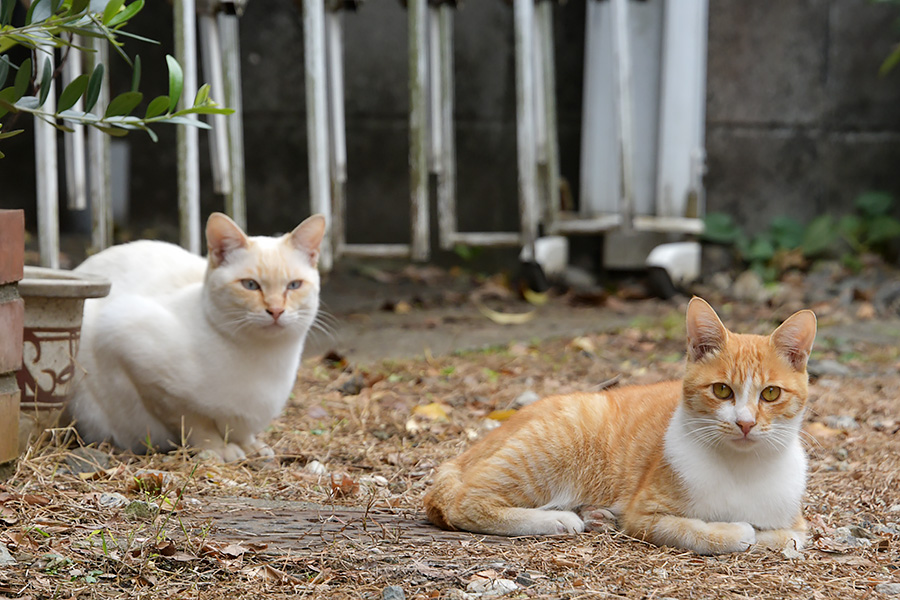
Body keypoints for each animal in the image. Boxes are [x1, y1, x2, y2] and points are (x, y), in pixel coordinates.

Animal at [69, 213, 326, 462]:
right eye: (251, 285)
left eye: (294, 285)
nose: (275, 311)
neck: (267, 357)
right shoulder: (131, 350)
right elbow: (194, 422)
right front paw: (219, 450)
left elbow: (241, 432)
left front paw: (251, 447)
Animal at [424, 298, 816, 556]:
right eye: (722, 390)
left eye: (770, 393)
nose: (745, 423)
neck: (740, 467)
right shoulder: (644, 516)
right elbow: (717, 532)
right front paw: (733, 529)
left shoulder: (796, 526)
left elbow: (786, 538)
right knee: (465, 503)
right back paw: (559, 520)